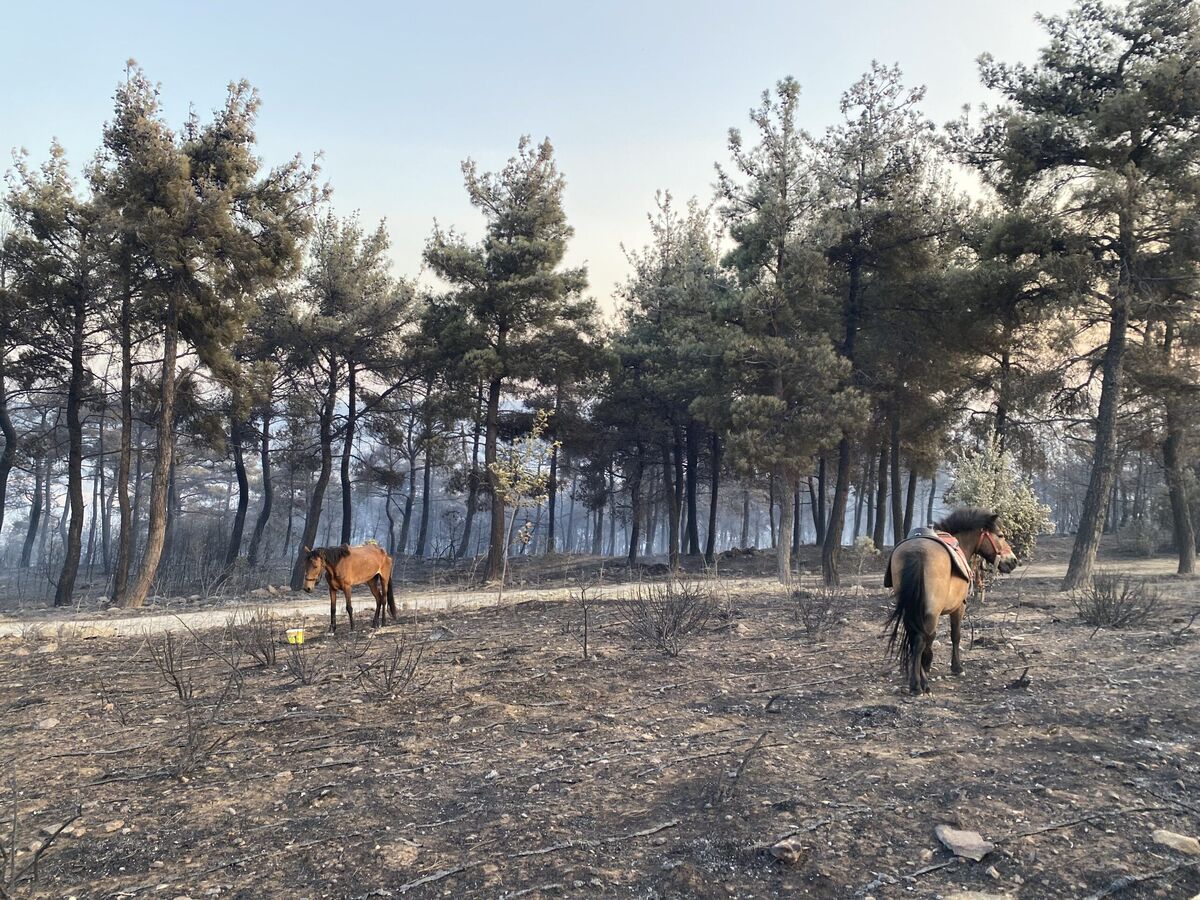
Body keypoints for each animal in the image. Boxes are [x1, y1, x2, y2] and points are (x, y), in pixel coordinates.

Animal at [884, 508, 1018, 694]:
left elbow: (932, 638)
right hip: (931, 612)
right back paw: (919, 684)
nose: (1013, 561)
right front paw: (956, 667)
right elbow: (955, 635)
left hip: (911, 610)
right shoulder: (958, 607)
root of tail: (917, 551)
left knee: (915, 639)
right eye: (1000, 535)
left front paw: (927, 663)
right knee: (919, 641)